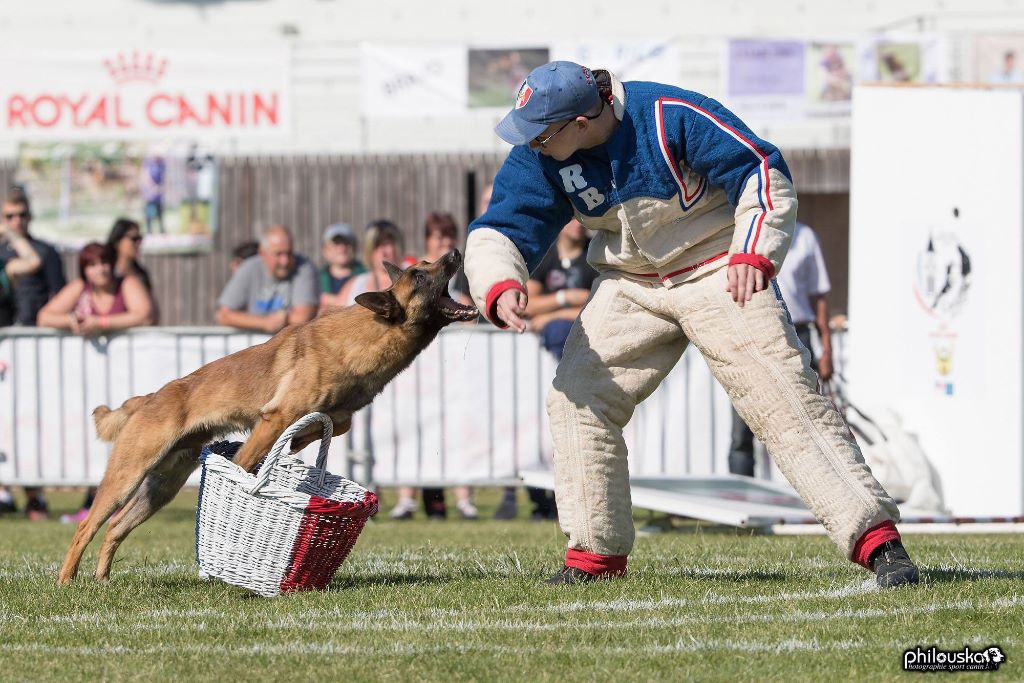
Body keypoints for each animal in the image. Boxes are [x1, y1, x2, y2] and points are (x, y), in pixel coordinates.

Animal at [59, 250, 479, 589]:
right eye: (420, 276)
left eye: (426, 264)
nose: (455, 252)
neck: (368, 337)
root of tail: (147, 399)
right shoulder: (274, 419)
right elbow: (245, 463)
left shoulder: (334, 415)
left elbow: (335, 423)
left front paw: (298, 444)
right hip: (126, 477)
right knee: (87, 526)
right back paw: (67, 581)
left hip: (159, 489)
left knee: (115, 528)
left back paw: (102, 579)